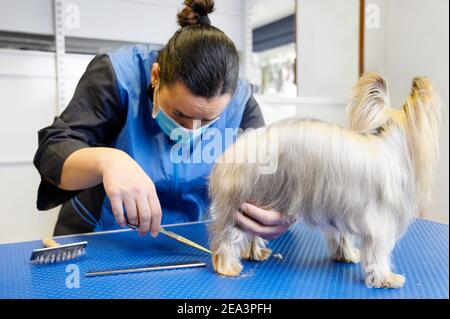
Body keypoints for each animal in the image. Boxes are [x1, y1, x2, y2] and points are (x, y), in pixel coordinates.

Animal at [209, 74, 442, 288]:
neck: (388, 139)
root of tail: (234, 152)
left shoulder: (337, 209)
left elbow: (340, 236)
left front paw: (346, 254)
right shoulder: (380, 221)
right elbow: (378, 253)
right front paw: (386, 278)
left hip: (261, 199)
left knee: (252, 232)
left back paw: (254, 253)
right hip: (247, 199)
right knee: (229, 237)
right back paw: (227, 266)